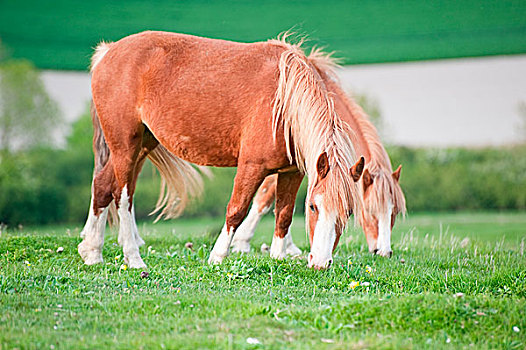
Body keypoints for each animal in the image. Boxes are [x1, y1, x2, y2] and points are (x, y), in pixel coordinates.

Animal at [78, 31, 366, 270]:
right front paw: (217, 256)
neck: (284, 103)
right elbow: (236, 210)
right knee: (122, 196)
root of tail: (109, 51)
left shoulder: (291, 172)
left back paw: (92, 252)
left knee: (102, 186)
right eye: (314, 207)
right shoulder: (252, 166)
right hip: (125, 146)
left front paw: (278, 256)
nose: (320, 263)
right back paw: (133, 257)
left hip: (142, 144)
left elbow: (283, 215)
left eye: (349, 212)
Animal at [231, 67, 408, 258]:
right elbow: (266, 198)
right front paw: (241, 242)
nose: (383, 252)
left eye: (395, 212)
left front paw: (286, 246)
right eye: (369, 210)